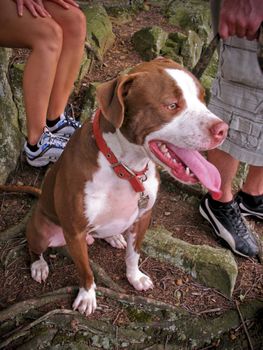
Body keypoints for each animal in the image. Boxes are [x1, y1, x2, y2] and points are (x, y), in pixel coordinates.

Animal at [26, 57, 229, 314]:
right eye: (171, 105)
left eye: (202, 98)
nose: (223, 129)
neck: (124, 167)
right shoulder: (75, 232)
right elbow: (85, 270)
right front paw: (87, 296)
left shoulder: (143, 217)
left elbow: (134, 255)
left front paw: (135, 277)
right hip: (41, 229)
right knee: (34, 247)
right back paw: (39, 265)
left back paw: (113, 237)